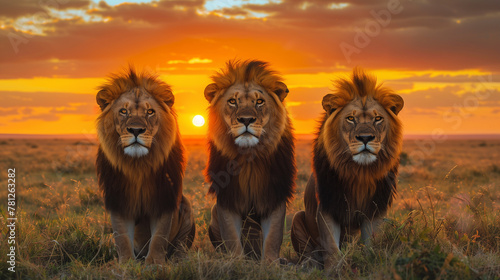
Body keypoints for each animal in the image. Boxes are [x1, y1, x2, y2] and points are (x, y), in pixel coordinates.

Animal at [95, 68, 195, 264]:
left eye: (150, 112)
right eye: (123, 111)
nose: (136, 130)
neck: (138, 165)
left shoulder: (164, 198)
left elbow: (159, 237)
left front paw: (155, 263)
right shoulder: (118, 199)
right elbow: (122, 237)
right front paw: (125, 264)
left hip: (187, 207)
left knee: (180, 246)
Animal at [204, 59, 296, 262]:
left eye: (259, 102)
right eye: (232, 101)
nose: (246, 119)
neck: (249, 157)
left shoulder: (274, 195)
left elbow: (273, 237)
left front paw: (270, 264)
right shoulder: (227, 198)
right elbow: (231, 237)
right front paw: (237, 263)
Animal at [292, 68, 404, 270]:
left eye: (378, 119)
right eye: (351, 119)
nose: (365, 138)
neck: (359, 172)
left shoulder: (374, 209)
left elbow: (371, 243)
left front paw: (370, 263)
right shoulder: (327, 206)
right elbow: (331, 247)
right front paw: (334, 270)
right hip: (297, 217)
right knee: (308, 253)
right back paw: (308, 264)